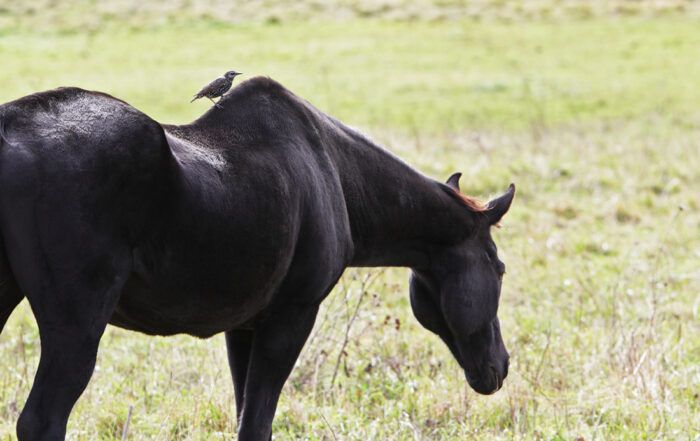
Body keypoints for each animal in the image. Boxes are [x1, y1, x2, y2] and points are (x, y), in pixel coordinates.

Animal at [0, 77, 514, 440]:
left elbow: (243, 415)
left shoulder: (243, 327)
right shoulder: (290, 315)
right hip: (76, 325)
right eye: (500, 267)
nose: (501, 366)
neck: (337, 175)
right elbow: (257, 424)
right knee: (41, 421)